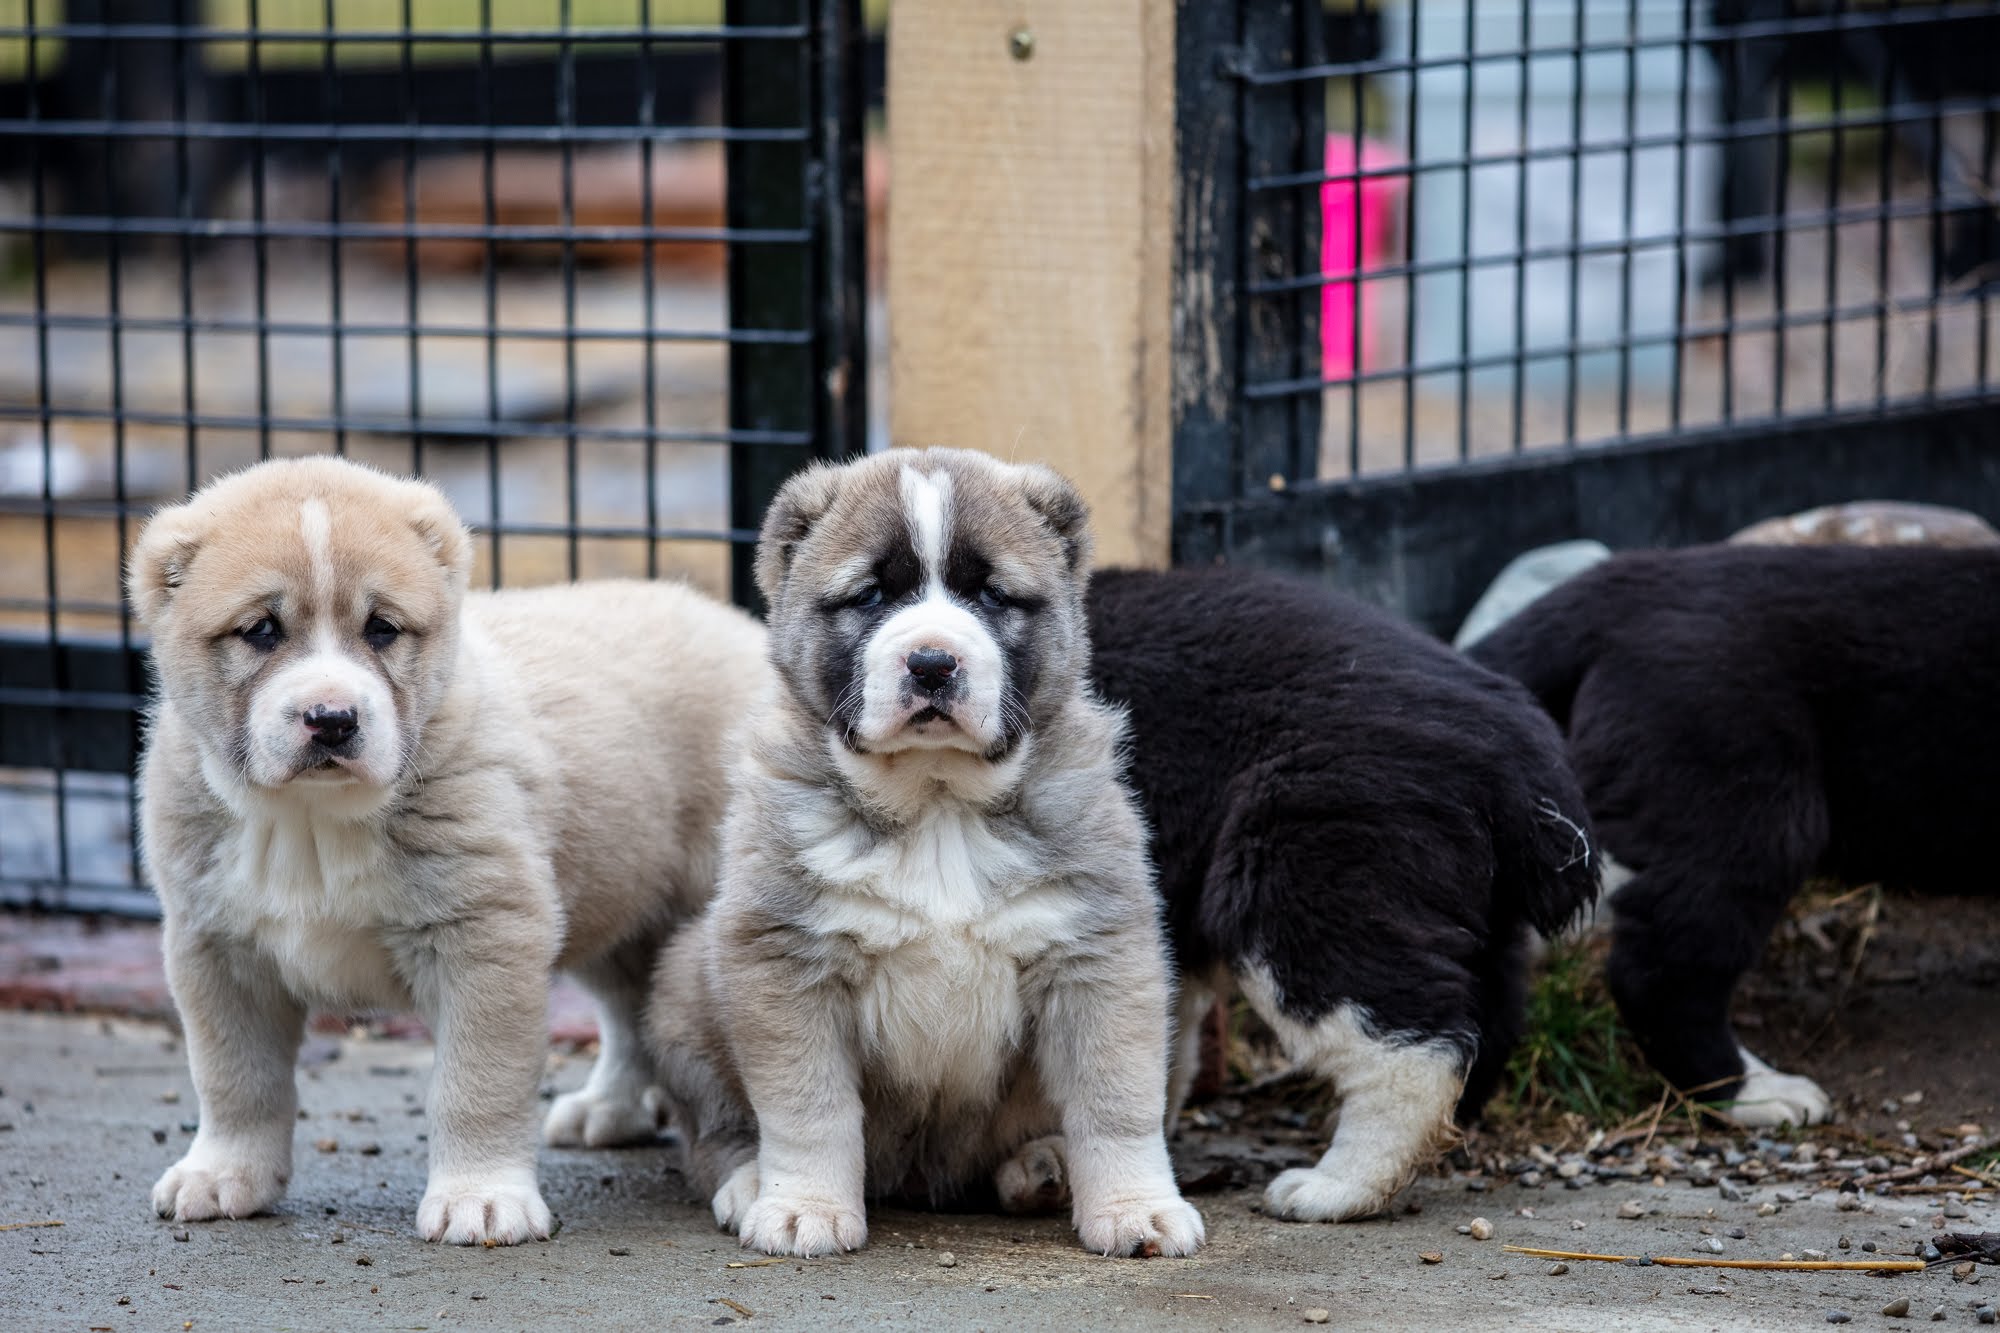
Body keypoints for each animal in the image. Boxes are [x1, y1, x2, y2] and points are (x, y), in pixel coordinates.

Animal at [127, 456, 764, 1248]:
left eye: (381, 628)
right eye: (262, 631)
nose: (332, 718)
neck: (313, 820)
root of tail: (741, 630)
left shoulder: (485, 937)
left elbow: (476, 1082)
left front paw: (481, 1196)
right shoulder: (214, 947)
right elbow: (233, 1076)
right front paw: (224, 1172)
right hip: (617, 902)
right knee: (630, 1011)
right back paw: (609, 1108)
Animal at [644, 446, 1200, 1256]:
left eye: (992, 595)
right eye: (871, 595)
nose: (933, 662)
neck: (938, 803)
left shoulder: (1097, 954)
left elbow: (1117, 1099)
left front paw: (1136, 1208)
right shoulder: (784, 961)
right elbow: (808, 1108)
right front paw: (803, 1206)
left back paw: (1042, 1165)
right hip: (688, 984)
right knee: (715, 1132)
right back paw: (749, 1181)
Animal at [1088, 564, 1600, 1216]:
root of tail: (1519, 752)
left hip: (1311, 860)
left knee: (1406, 1039)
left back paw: (1333, 1188)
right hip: (1469, 898)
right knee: (1485, 1013)